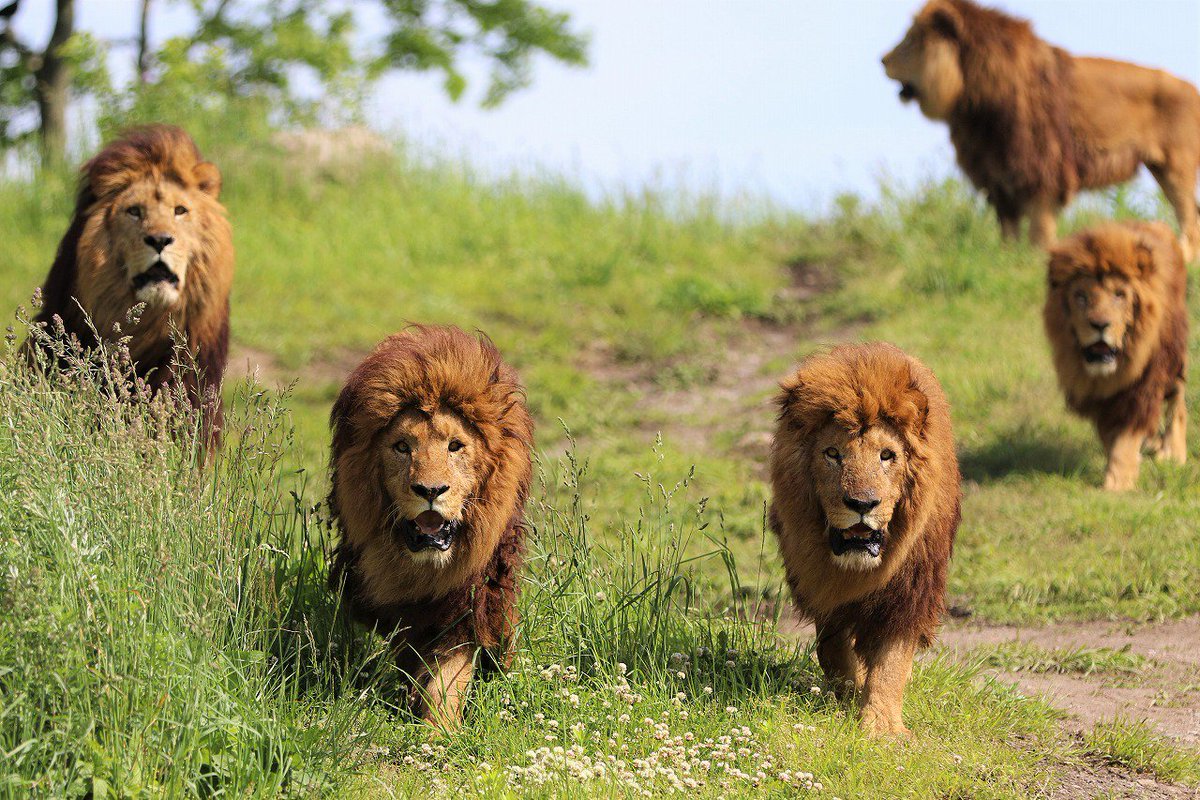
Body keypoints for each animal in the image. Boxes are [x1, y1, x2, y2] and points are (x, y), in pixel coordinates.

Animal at [328, 326, 535, 734]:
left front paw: (439, 732)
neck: (424, 567)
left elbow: (448, 678)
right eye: (401, 447)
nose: (430, 490)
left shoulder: (469, 605)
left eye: (455, 446)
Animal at [768, 345, 964, 738]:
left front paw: (881, 727)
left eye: (886, 455)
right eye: (833, 453)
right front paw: (847, 693)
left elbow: (891, 664)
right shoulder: (820, 584)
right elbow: (831, 648)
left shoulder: (908, 590)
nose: (861, 504)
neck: (854, 568)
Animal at [883, 0, 1200, 257]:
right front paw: (1007, 259)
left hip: (1177, 168)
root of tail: (1193, 89)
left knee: (1190, 219)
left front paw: (1038, 259)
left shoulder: (1041, 167)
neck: (974, 97)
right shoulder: (997, 171)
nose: (882, 59)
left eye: (910, 40)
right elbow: (1008, 227)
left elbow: (1039, 227)